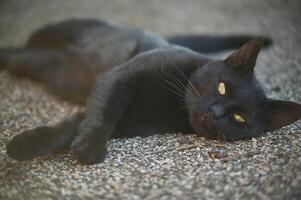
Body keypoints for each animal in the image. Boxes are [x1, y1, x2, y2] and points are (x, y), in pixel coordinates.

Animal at [2, 19, 300, 165]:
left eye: (239, 118)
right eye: (222, 86)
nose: (214, 113)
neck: (171, 105)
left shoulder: (125, 121)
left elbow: (68, 129)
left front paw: (25, 146)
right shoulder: (119, 78)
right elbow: (104, 113)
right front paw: (91, 147)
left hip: (49, 66)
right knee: (21, 53)